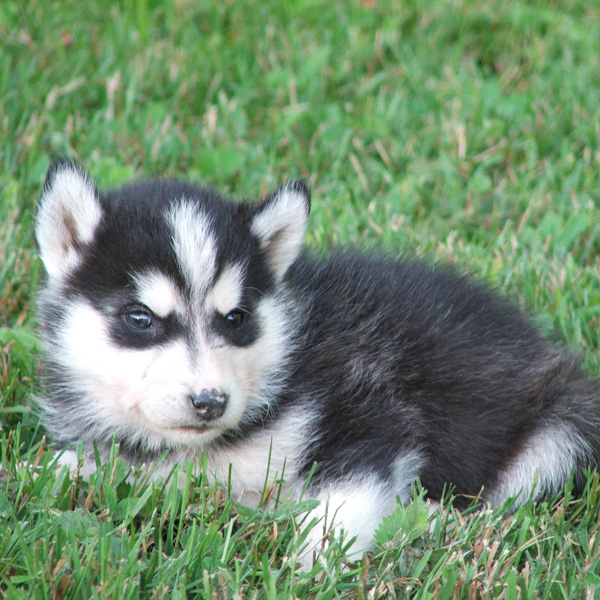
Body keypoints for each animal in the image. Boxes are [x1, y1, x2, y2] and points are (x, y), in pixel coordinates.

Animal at [35, 159, 600, 561]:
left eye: (236, 318)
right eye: (140, 319)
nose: (210, 402)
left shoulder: (369, 410)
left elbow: (348, 497)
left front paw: (313, 562)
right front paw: (44, 468)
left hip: (564, 424)